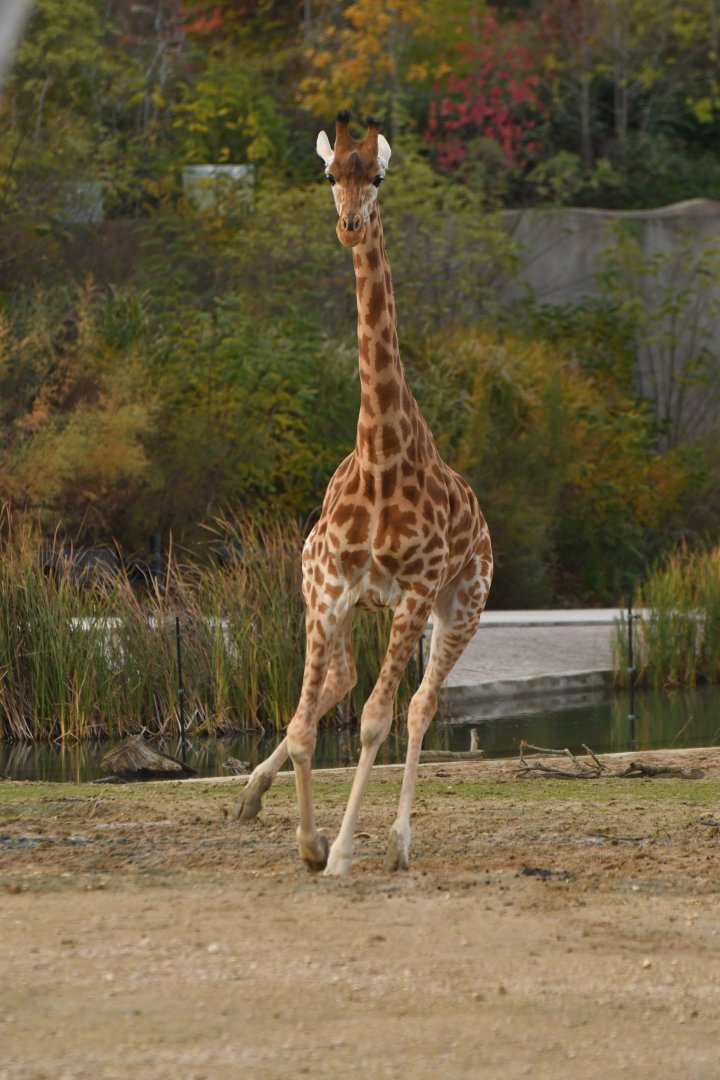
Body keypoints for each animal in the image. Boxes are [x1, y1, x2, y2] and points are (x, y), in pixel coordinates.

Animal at [233, 111, 493, 876]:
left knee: (420, 706)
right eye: (329, 174)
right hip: (338, 600)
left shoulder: (414, 593)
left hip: (461, 604)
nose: (350, 225)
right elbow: (300, 724)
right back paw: (250, 795)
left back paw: (401, 842)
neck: (380, 456)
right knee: (341, 682)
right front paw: (309, 842)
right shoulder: (328, 588)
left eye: (377, 175)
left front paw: (342, 849)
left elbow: (378, 720)